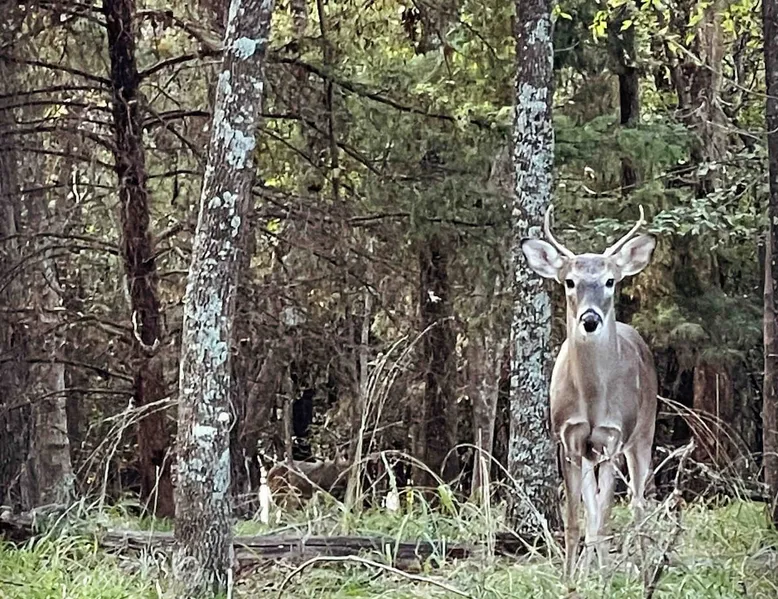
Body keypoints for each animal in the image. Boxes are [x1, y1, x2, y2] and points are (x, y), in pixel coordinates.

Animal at [520, 205, 658, 579]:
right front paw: (569, 578)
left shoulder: (613, 438)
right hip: (589, 453)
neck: (593, 400)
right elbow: (576, 519)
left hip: (644, 433)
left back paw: (643, 569)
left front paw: (606, 578)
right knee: (593, 506)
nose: (590, 319)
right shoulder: (568, 439)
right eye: (570, 281)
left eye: (610, 280)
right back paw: (589, 567)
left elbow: (606, 518)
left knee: (638, 503)